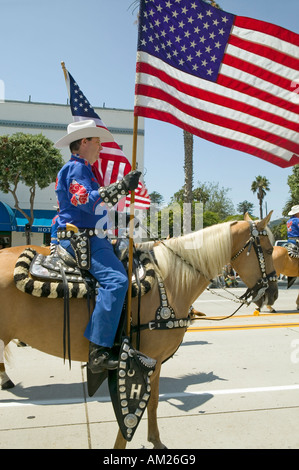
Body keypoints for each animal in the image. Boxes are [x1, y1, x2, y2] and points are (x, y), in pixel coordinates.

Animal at [0, 214, 278, 448]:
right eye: (266, 250)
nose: (273, 294)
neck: (171, 281)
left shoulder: (155, 360)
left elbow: (152, 403)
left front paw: (155, 440)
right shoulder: (144, 358)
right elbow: (137, 405)